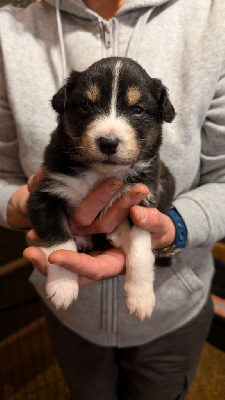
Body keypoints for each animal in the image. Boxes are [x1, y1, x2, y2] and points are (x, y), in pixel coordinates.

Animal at [27, 56, 176, 320]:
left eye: (137, 109)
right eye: (86, 105)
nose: (108, 142)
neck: (99, 174)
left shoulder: (140, 201)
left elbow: (140, 250)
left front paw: (141, 298)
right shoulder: (46, 192)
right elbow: (59, 241)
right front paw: (63, 286)